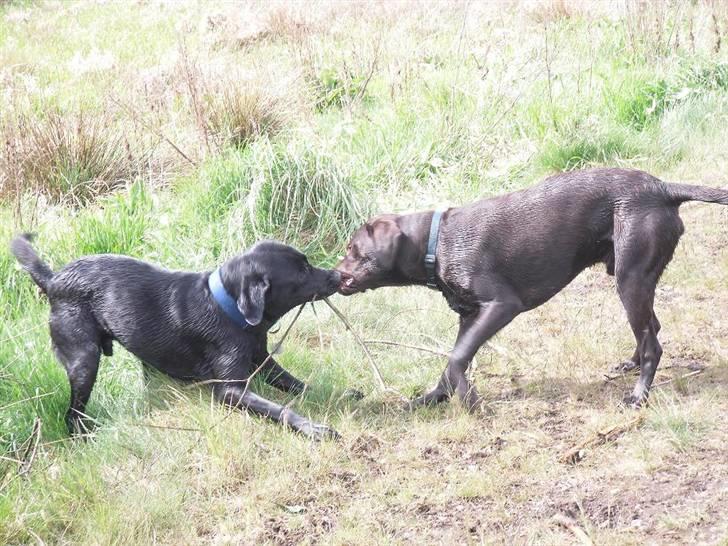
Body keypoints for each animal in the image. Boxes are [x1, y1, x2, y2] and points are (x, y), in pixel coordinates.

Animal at [11, 236, 342, 440]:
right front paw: (314, 429)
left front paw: (334, 394)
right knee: (72, 415)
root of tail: (54, 280)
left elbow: (296, 384)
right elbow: (280, 409)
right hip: (84, 360)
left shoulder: (262, 360)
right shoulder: (230, 391)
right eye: (302, 271)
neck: (226, 306)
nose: (339, 275)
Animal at [338, 168, 728, 410]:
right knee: (651, 329)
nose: (335, 273)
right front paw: (432, 398)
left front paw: (467, 400)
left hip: (630, 278)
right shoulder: (469, 317)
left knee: (653, 345)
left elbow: (456, 358)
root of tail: (663, 188)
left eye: (353, 249)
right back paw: (629, 366)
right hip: (635, 281)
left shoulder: (501, 305)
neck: (437, 242)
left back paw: (638, 396)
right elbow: (453, 361)